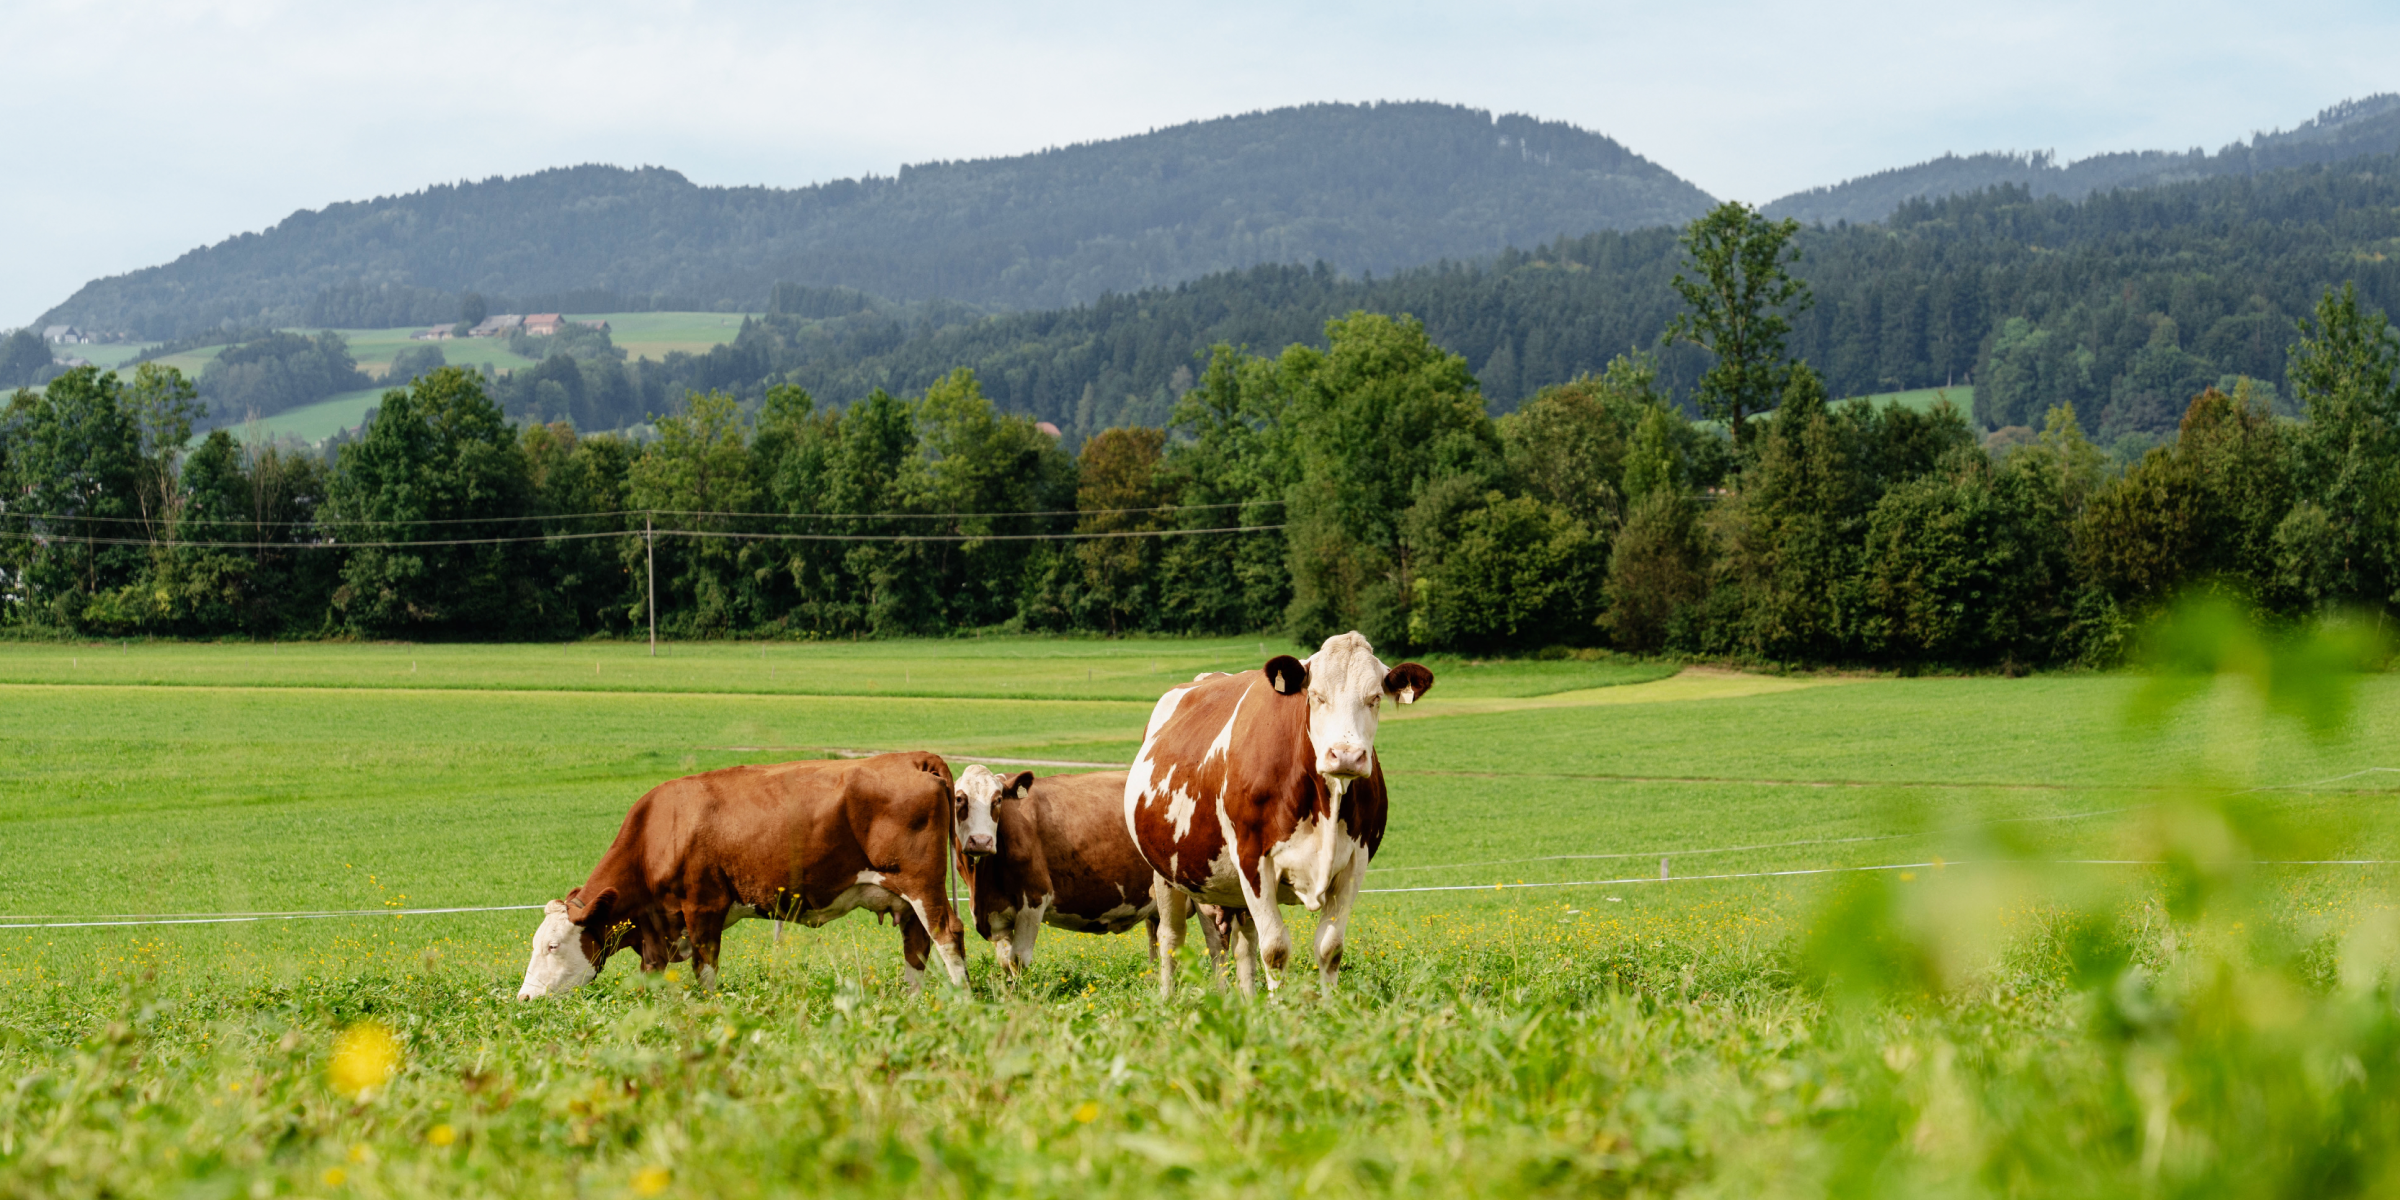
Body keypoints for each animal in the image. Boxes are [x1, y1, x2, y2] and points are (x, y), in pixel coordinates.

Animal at [516, 752, 970, 999]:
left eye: (553, 946)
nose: (524, 998)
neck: (660, 831)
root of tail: (911, 759)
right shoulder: (655, 926)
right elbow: (653, 975)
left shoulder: (703, 907)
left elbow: (705, 970)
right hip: (905, 900)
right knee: (916, 948)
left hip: (922, 887)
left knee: (947, 935)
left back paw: (963, 1003)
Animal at [950, 765, 1164, 979]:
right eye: (959, 798)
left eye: (998, 800)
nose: (981, 841)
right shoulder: (995, 914)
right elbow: (1004, 961)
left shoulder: (1034, 898)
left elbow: (1017, 960)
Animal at [1125, 631, 1433, 996]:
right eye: (1316, 696)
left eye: (1374, 698)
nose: (1345, 755)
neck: (1325, 801)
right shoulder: (1252, 859)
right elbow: (1275, 950)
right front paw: (1280, 1007)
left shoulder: (1354, 864)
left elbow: (1330, 948)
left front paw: (1330, 1007)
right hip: (1167, 871)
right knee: (1172, 938)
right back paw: (1168, 1000)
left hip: (1213, 879)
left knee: (1232, 943)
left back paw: (1240, 1000)